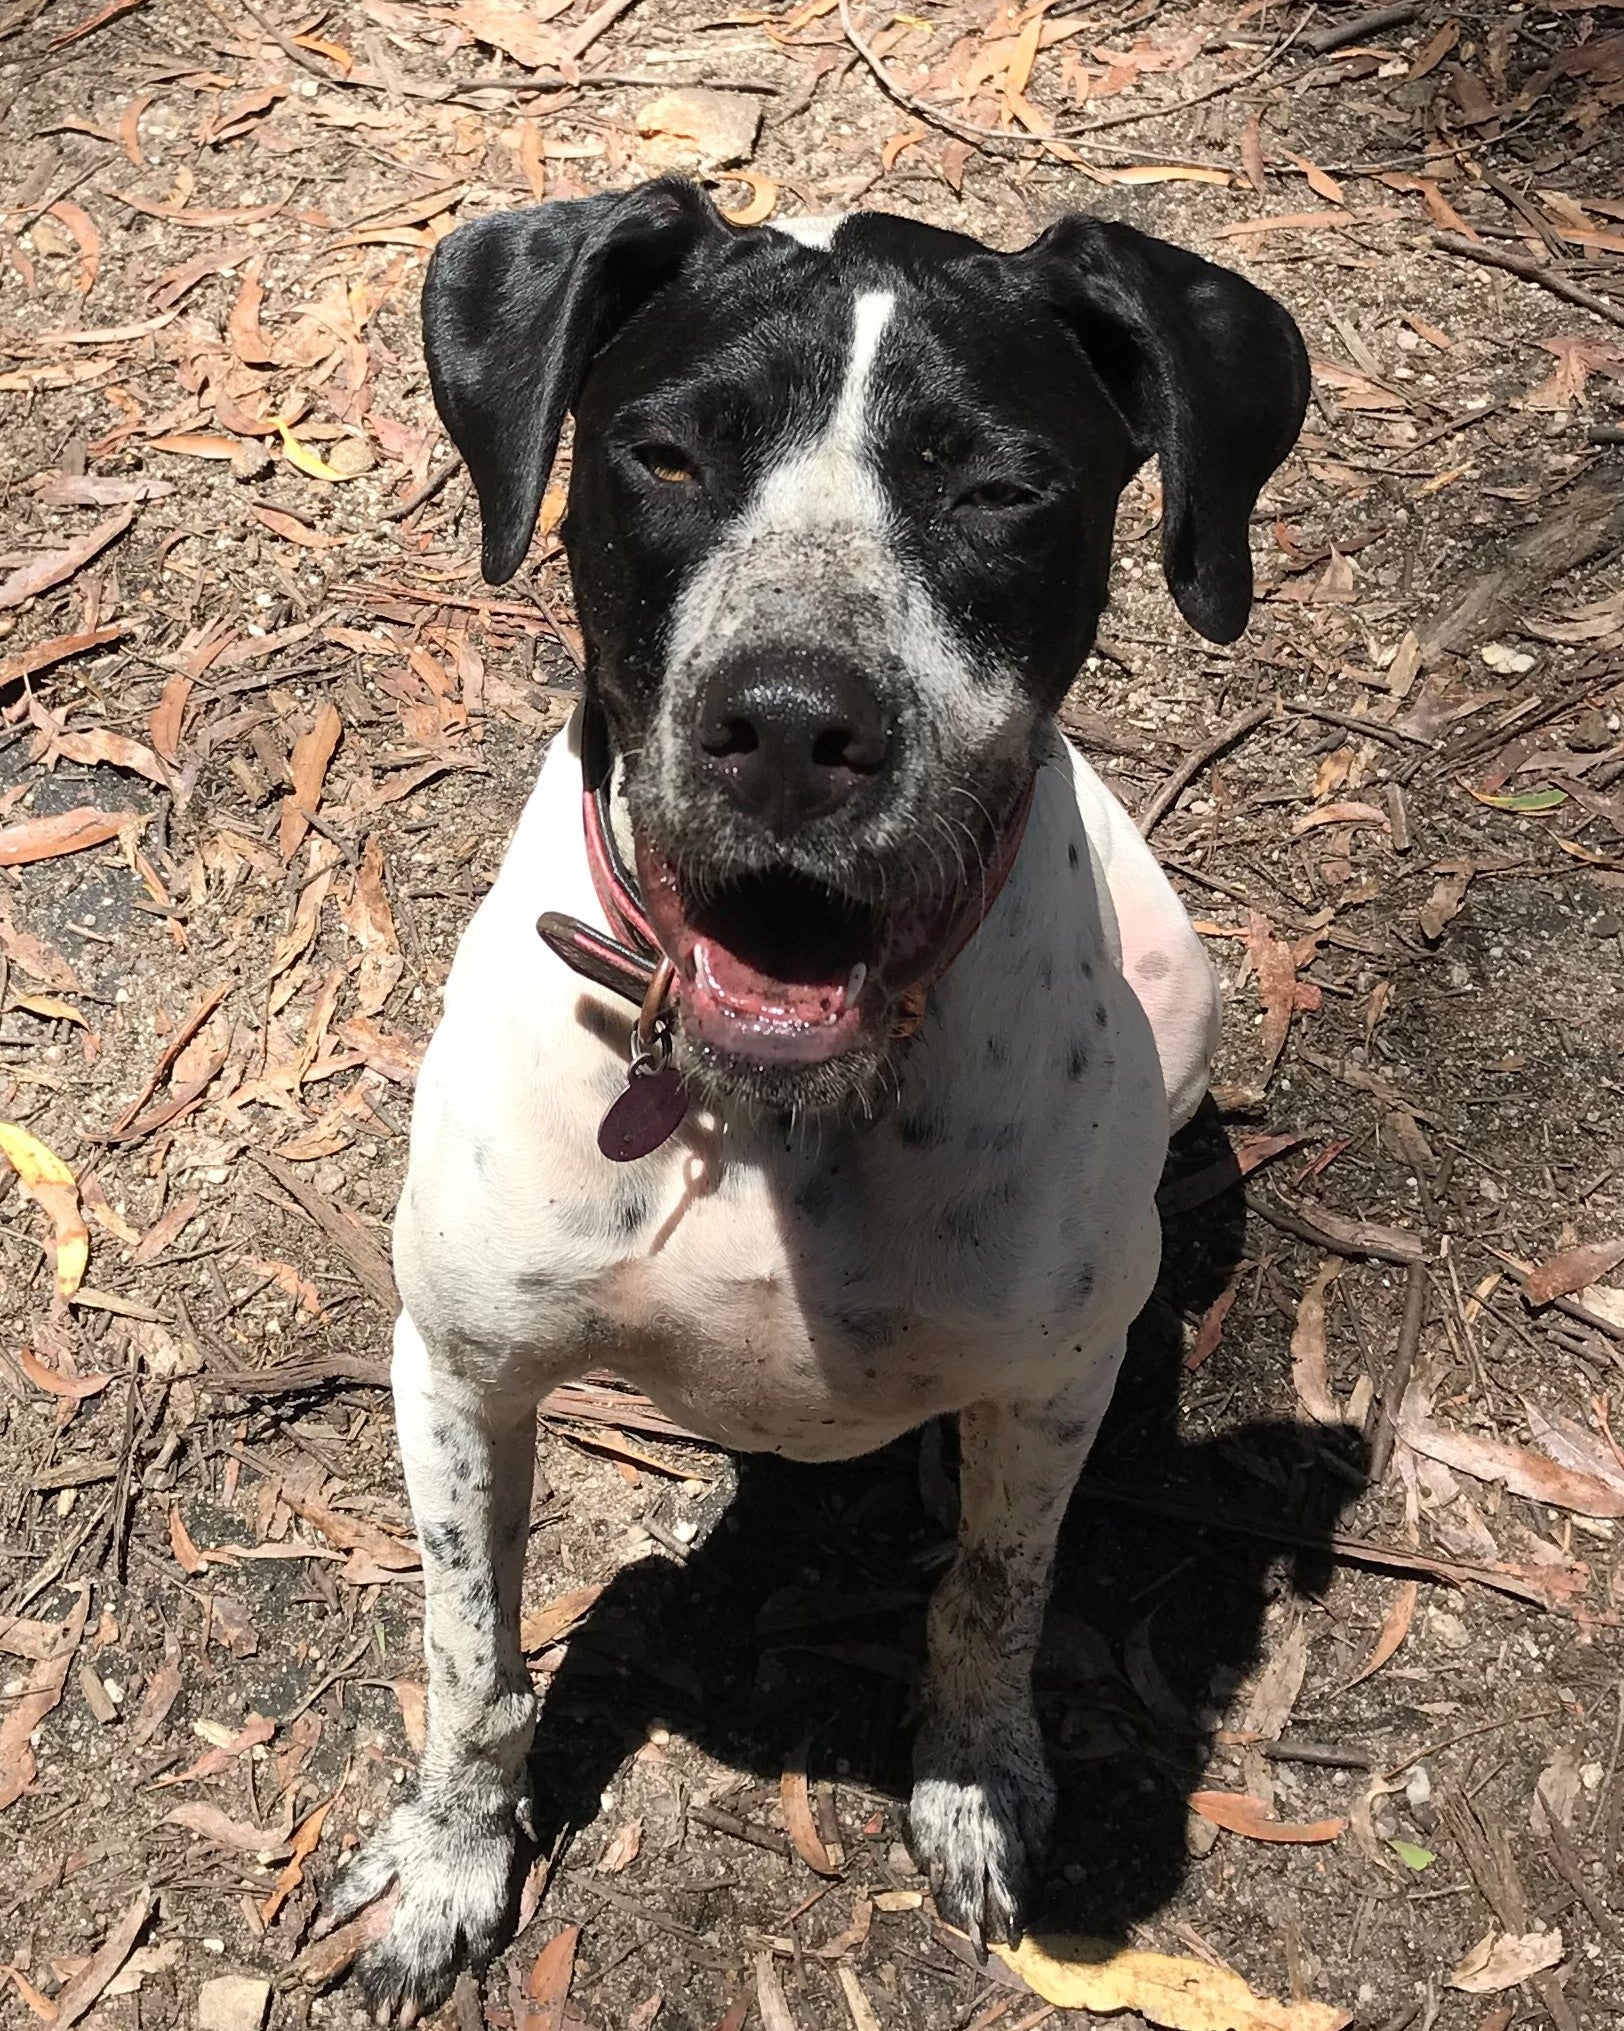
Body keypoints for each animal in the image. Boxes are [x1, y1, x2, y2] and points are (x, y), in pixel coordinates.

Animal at [322, 178, 1315, 2014]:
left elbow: (992, 1593)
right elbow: (472, 1662)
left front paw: (975, 1784)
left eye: (1000, 487)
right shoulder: (460, 1370)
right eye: (658, 455)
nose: (786, 724)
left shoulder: (1037, 1392)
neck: (768, 1115)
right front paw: (445, 1865)